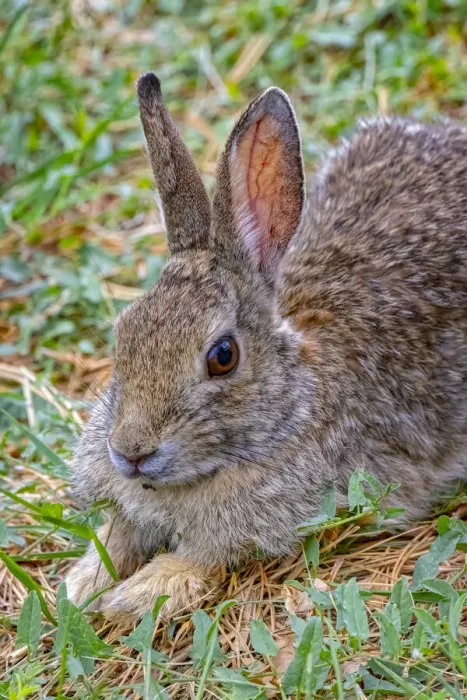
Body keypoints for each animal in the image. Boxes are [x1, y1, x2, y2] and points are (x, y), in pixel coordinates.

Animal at [65, 72, 467, 622]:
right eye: (123, 334)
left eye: (223, 357)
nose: (130, 452)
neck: (286, 409)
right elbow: (115, 537)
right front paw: (82, 585)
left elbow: (200, 560)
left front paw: (137, 595)